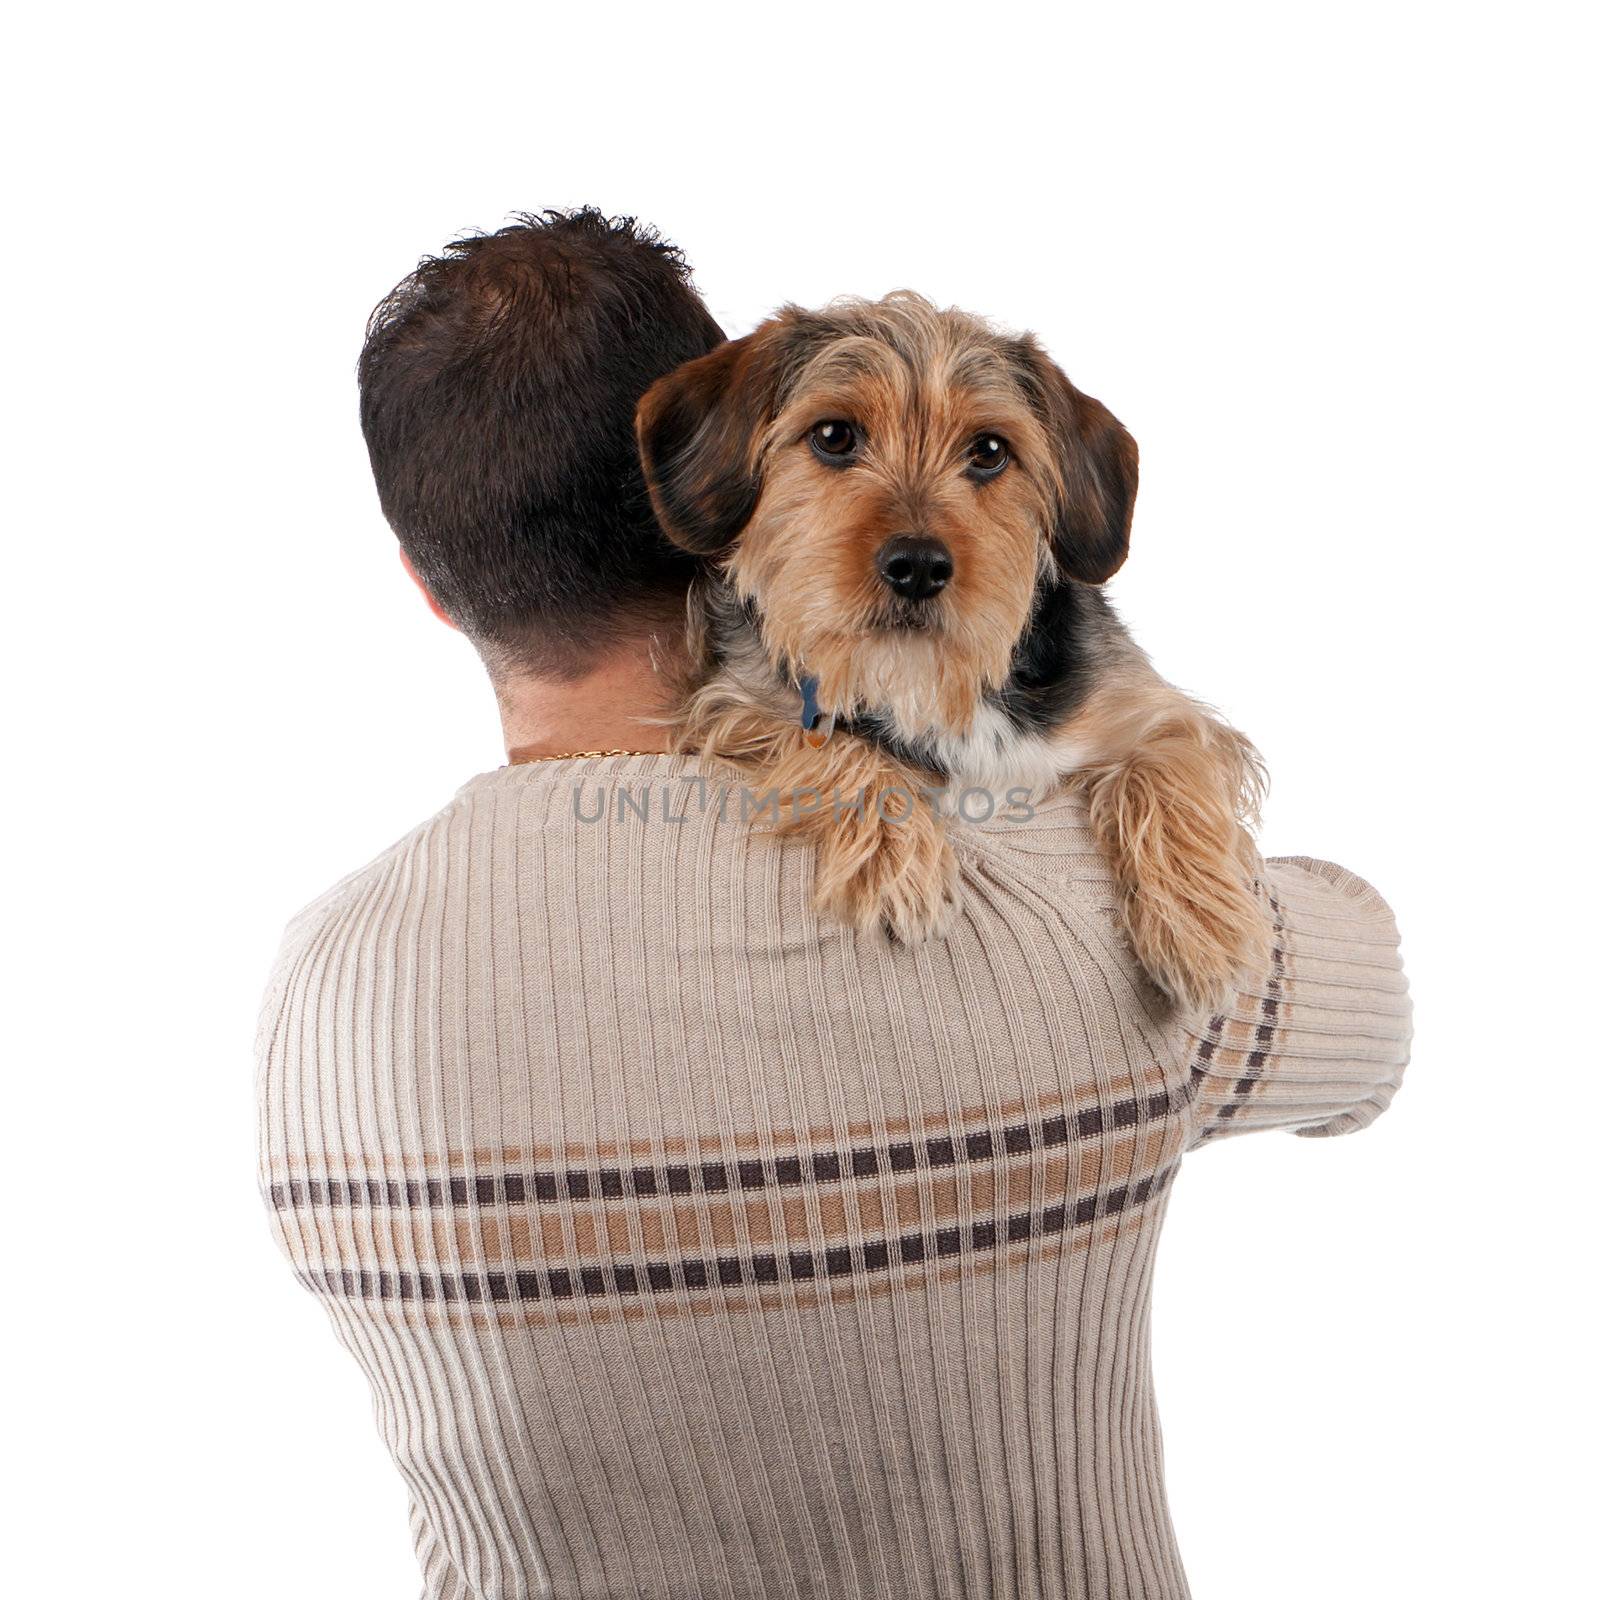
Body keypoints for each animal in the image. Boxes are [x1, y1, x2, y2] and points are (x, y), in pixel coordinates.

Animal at [630, 291, 1267, 1011]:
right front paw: (894, 856)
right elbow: (830, 740)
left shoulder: (1145, 711)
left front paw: (1201, 926)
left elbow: (1165, 767)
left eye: (989, 450)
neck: (934, 685)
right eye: (833, 436)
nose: (918, 567)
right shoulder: (733, 698)